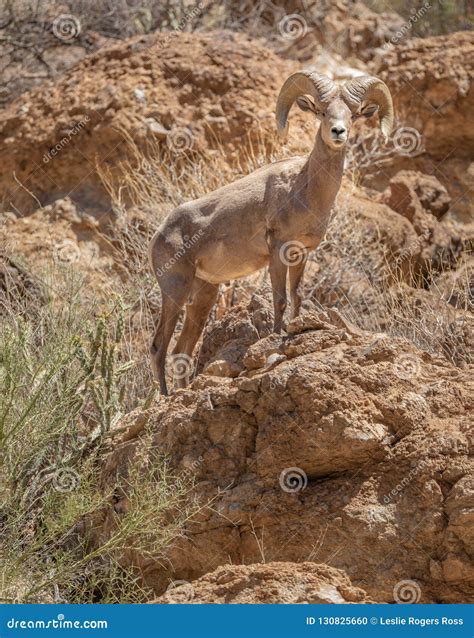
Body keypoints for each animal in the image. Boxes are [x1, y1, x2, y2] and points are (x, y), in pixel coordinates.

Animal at [148, 71, 392, 396]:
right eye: (322, 112)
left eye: (353, 115)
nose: (338, 132)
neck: (305, 188)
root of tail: (160, 234)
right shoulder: (278, 251)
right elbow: (279, 299)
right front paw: (276, 341)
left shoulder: (301, 255)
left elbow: (297, 296)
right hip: (176, 289)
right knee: (159, 347)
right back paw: (165, 396)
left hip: (204, 295)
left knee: (181, 350)